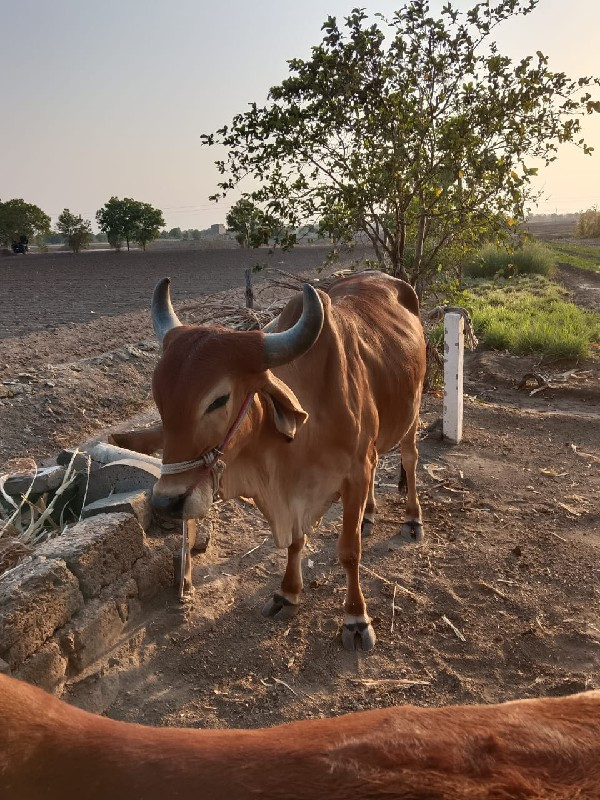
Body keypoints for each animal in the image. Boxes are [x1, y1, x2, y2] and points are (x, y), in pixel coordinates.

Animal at [146, 268, 426, 648]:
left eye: (218, 400)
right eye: (159, 398)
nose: (166, 503)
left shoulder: (354, 472)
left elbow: (349, 550)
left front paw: (356, 618)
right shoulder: (297, 491)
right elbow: (295, 540)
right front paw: (288, 593)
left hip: (413, 411)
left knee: (410, 458)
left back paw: (412, 518)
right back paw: (368, 515)